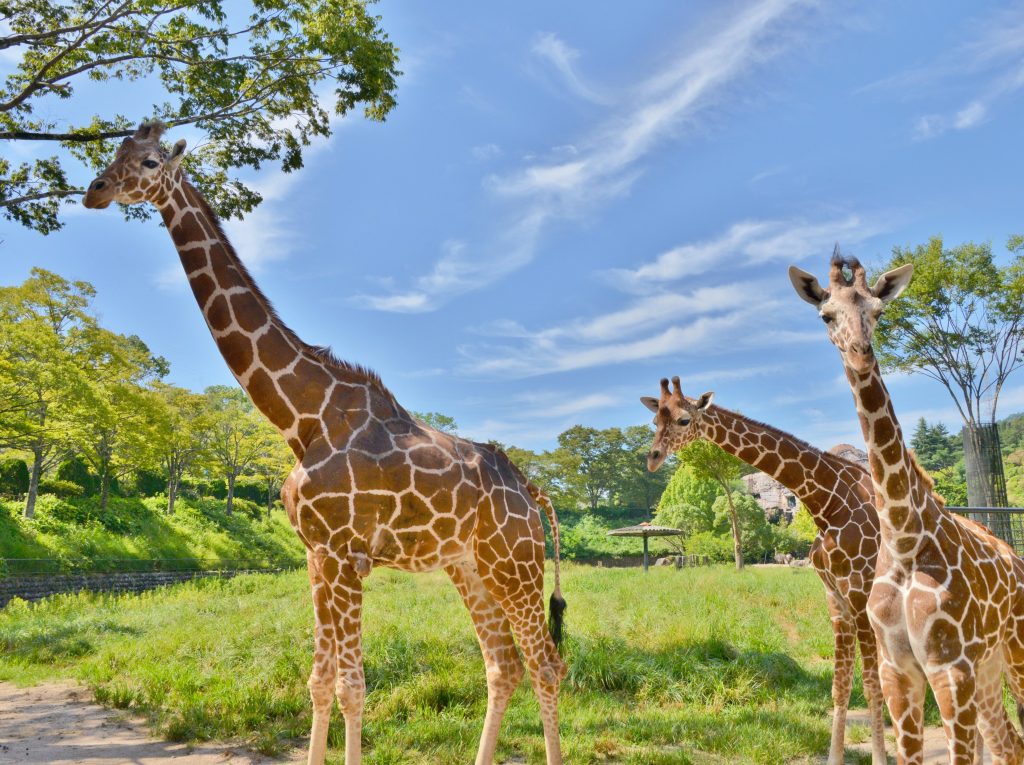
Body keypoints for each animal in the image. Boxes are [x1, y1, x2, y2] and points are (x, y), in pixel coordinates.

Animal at [81, 121, 569, 765]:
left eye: (150, 161)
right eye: (115, 150)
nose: (95, 191)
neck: (301, 417)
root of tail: (534, 493)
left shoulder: (345, 553)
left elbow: (352, 687)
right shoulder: (316, 554)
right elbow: (319, 681)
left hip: (516, 564)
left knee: (545, 665)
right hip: (470, 565)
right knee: (503, 665)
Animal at [638, 376, 888, 765]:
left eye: (683, 420)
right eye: (654, 421)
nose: (653, 459)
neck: (828, 503)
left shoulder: (860, 590)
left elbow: (872, 683)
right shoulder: (835, 595)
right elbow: (841, 683)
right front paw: (835, 758)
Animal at [790, 253, 1024, 765]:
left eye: (877, 311)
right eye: (826, 315)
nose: (860, 353)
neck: (904, 536)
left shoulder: (950, 669)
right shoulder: (900, 670)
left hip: (1014, 651)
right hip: (990, 668)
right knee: (1009, 743)